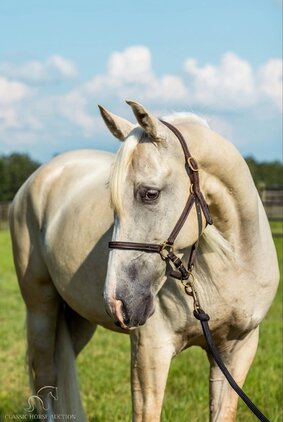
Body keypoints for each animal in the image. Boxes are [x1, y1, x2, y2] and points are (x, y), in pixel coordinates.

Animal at [9, 100, 280, 420]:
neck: (232, 265)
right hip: (40, 307)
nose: (116, 302)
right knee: (46, 377)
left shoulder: (237, 352)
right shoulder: (151, 352)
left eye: (150, 194)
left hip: (77, 318)